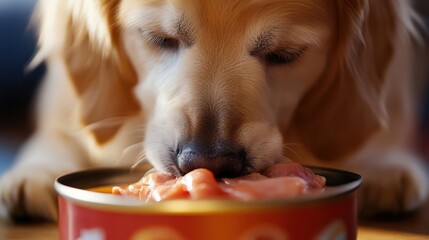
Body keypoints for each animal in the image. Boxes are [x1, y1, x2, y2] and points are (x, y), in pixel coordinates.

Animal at [0, 0, 426, 221]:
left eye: (285, 54)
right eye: (159, 38)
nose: (207, 162)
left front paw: (382, 166)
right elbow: (56, 137)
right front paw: (35, 172)